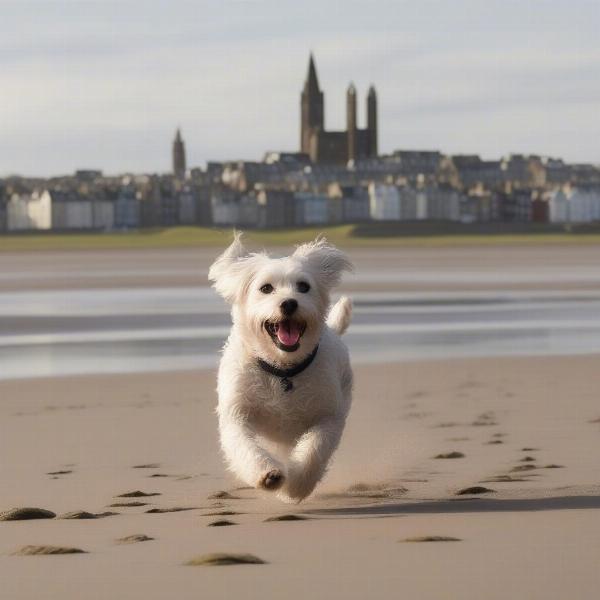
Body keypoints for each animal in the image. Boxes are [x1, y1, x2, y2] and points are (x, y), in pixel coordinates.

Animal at [210, 234, 354, 502]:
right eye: (266, 288)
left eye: (304, 286)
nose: (289, 303)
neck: (282, 371)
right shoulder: (236, 414)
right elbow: (243, 445)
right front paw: (267, 474)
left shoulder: (328, 417)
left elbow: (314, 449)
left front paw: (296, 486)